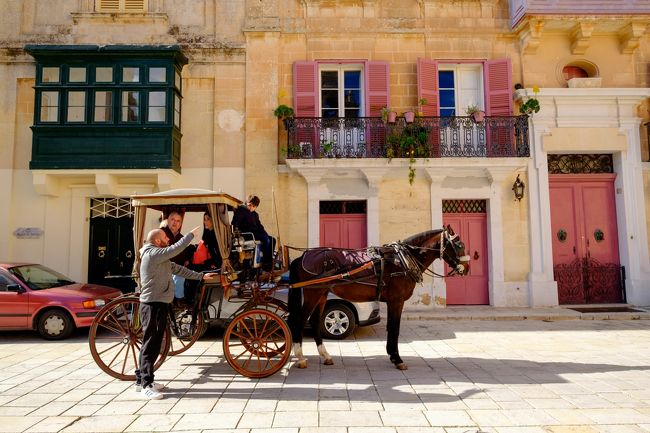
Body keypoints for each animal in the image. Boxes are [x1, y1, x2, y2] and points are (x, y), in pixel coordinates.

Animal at [286, 224, 468, 370]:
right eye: (459, 244)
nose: (466, 268)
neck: (403, 260)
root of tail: (303, 256)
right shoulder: (396, 301)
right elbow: (395, 328)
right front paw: (397, 359)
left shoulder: (393, 302)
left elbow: (391, 327)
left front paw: (392, 355)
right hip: (313, 293)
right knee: (299, 320)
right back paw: (300, 357)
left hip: (322, 294)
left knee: (315, 321)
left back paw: (325, 355)